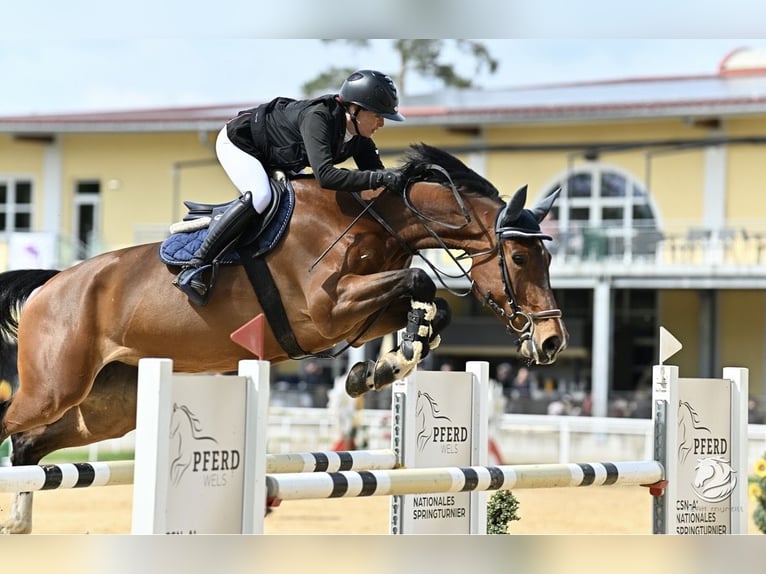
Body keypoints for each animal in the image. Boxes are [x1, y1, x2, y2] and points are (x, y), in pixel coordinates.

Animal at [0, 143, 567, 533]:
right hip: (52, 387)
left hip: (104, 407)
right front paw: (389, 361)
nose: (551, 341)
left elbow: (431, 305)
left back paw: (20, 524)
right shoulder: (328, 309)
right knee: (13, 424)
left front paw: (378, 369)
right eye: (520, 257)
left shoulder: (358, 315)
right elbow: (422, 282)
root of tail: (51, 283)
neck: (375, 222)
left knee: (29, 444)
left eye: (548, 256)